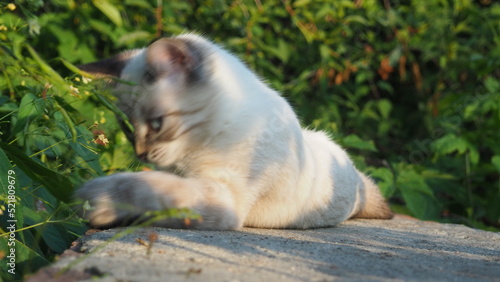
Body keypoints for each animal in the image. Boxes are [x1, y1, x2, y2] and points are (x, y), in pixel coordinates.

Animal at [76, 34, 392, 230]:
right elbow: (150, 183)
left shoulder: (221, 194)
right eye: (128, 130)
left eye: (157, 124)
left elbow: (143, 186)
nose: (141, 155)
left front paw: (94, 199)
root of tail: (355, 176)